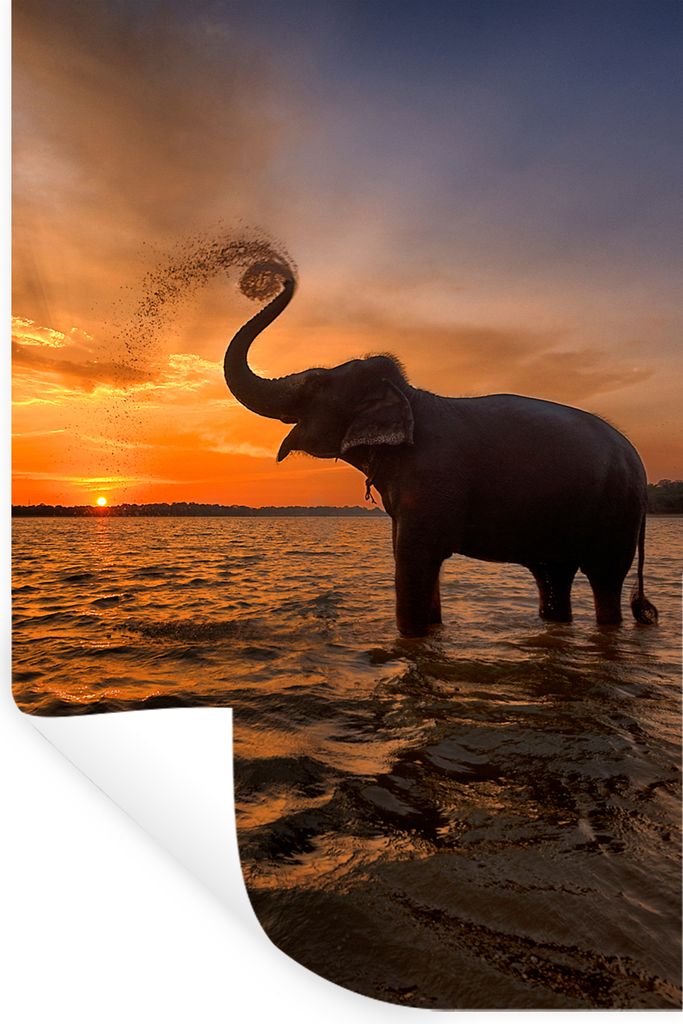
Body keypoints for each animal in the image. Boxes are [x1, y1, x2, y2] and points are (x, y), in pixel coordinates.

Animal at [224, 269, 658, 638]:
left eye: (315, 383)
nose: (279, 276)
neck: (413, 399)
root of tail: (638, 461)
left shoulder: (432, 477)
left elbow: (414, 560)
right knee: (553, 576)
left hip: (615, 514)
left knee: (604, 580)